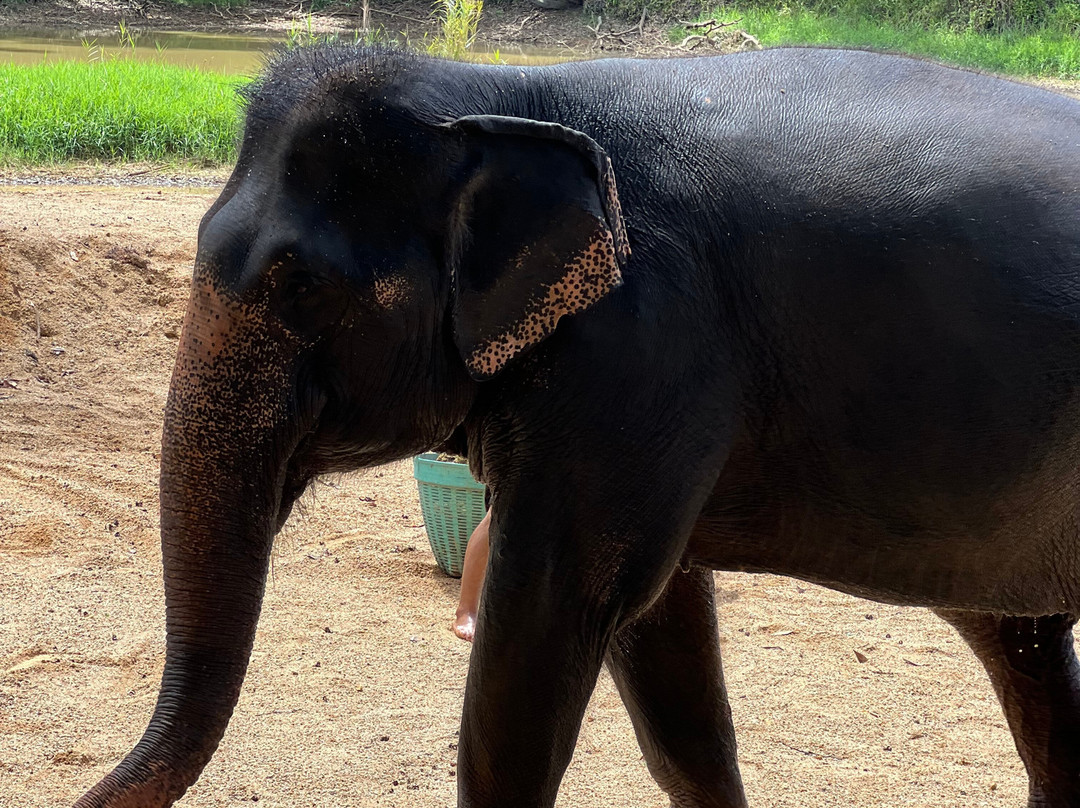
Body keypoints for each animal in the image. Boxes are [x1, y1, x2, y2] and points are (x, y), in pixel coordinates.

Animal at [76, 44, 1080, 808]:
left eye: (301, 287)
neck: (508, 95)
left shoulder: (642, 347)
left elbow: (545, 629)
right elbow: (667, 660)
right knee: (1025, 654)